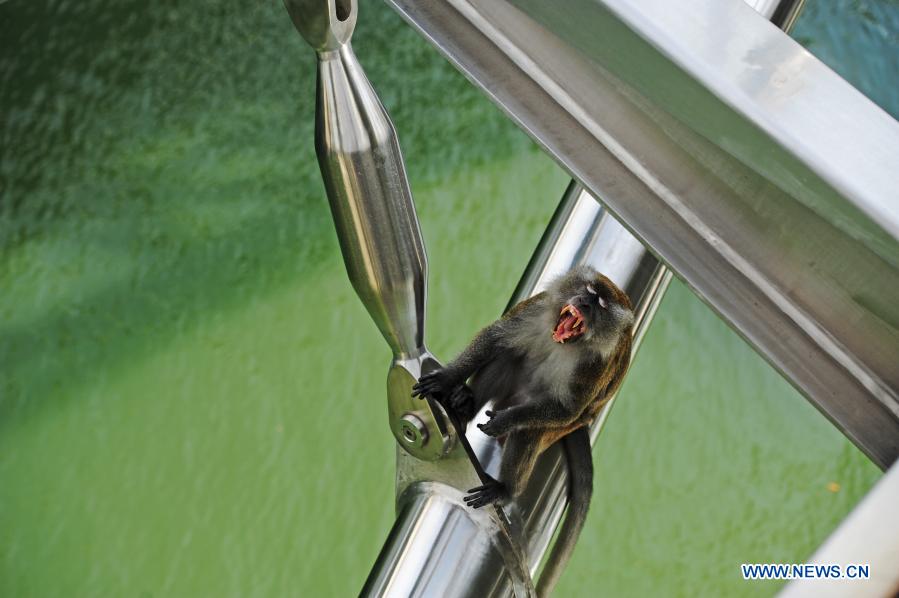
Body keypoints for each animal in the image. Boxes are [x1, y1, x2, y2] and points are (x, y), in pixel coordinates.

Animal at [412, 265, 634, 596]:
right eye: (589, 291)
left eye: (601, 304)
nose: (583, 303)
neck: (567, 344)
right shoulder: (537, 309)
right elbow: (495, 338)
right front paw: (448, 379)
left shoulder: (593, 367)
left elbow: (564, 409)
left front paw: (504, 423)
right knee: (508, 355)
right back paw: (464, 408)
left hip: (558, 427)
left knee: (531, 431)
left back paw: (505, 489)